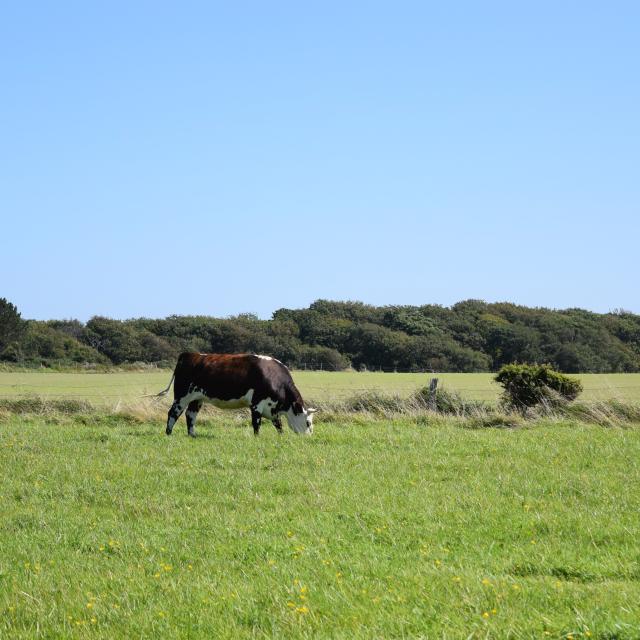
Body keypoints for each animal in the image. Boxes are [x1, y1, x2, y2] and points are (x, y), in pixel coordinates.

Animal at [157, 352, 316, 437]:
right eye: (308, 422)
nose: (308, 437)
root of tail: (189, 354)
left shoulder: (272, 408)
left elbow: (278, 424)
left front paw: (281, 436)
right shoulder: (257, 404)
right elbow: (256, 423)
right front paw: (257, 437)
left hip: (197, 399)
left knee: (190, 415)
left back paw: (193, 435)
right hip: (182, 396)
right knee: (173, 413)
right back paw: (169, 433)